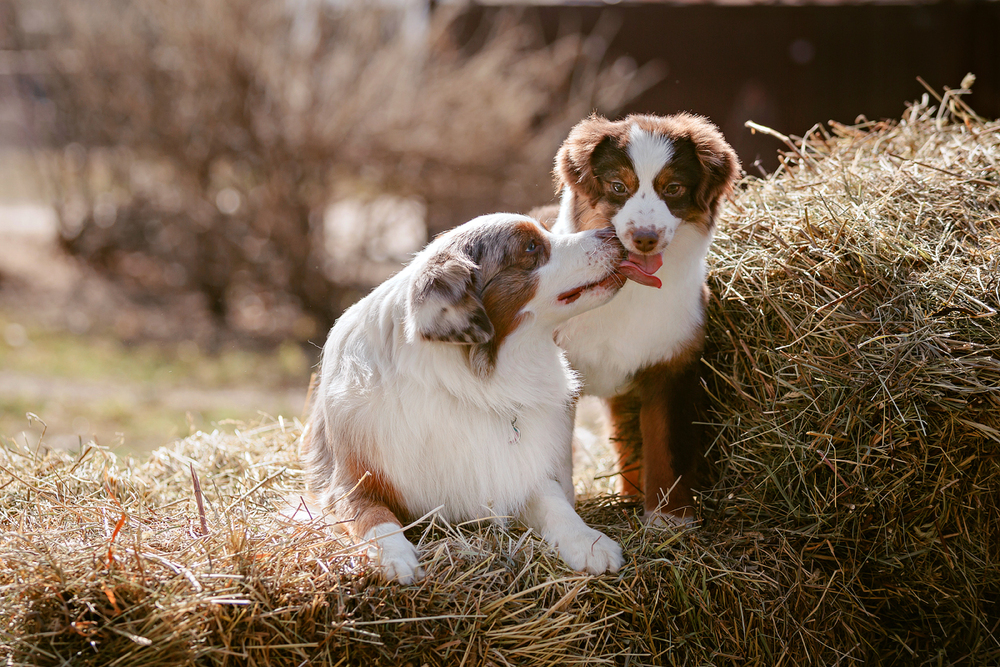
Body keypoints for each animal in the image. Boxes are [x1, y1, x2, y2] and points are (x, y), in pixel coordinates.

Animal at [298, 214, 624, 584]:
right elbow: (374, 518)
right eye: (530, 246)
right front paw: (395, 557)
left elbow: (556, 503)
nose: (614, 232)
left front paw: (589, 541)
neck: (467, 383)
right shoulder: (349, 482)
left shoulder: (514, 473)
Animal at [532, 112, 744, 524]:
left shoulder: (671, 365)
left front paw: (669, 519)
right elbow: (554, 455)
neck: (627, 291)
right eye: (618, 186)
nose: (645, 237)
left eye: (673, 188)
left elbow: (665, 445)